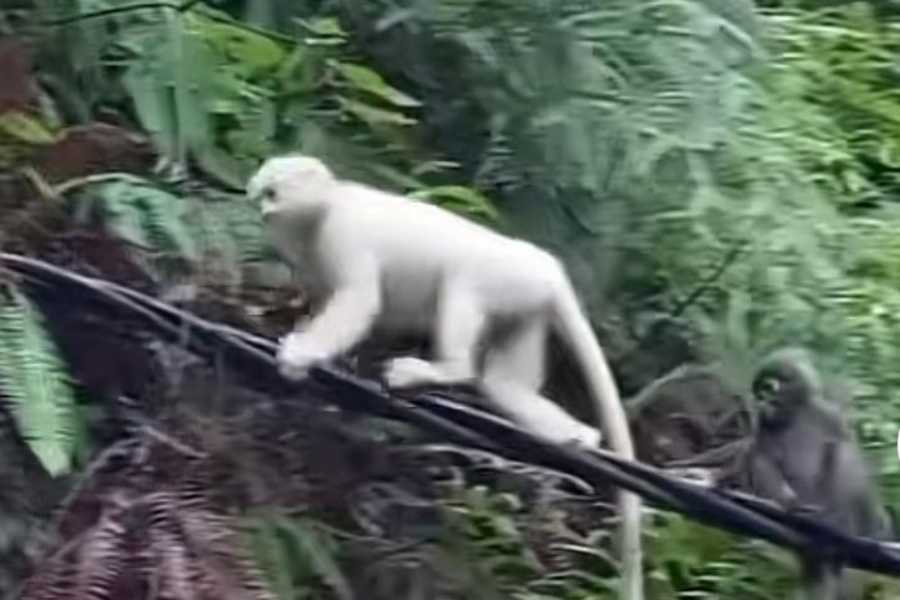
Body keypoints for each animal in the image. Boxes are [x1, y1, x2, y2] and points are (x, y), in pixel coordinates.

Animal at [246, 156, 640, 600]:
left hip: (506, 277)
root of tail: (549, 268)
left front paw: (299, 355)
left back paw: (442, 370)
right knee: (503, 384)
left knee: (461, 288)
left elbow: (360, 300)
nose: (263, 210)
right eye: (260, 193)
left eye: (273, 193)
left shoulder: (342, 232)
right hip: (527, 304)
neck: (325, 209)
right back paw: (578, 437)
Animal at [740, 346, 892, 600]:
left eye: (768, 388)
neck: (794, 413)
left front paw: (878, 523)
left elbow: (846, 444)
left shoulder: (827, 412)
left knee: (840, 452)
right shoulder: (763, 424)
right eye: (759, 393)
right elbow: (763, 460)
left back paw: (838, 523)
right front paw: (787, 502)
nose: (760, 401)